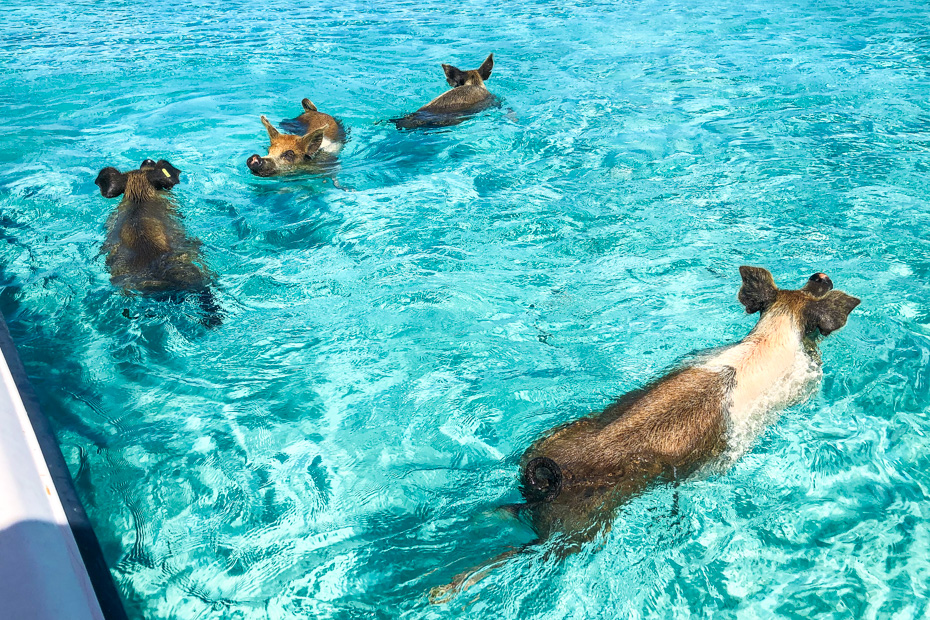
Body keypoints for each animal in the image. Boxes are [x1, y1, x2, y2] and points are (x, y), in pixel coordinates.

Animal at [430, 267, 860, 602]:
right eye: (817, 288)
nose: (820, 274)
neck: (773, 335)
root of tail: (552, 478)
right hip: (579, 531)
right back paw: (443, 591)